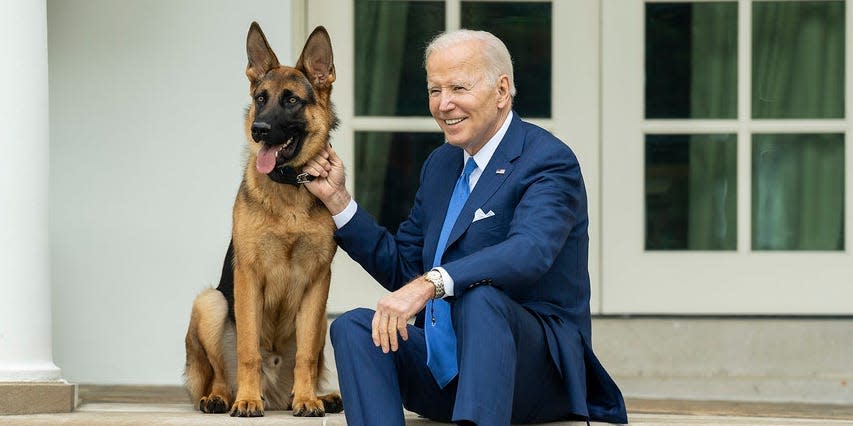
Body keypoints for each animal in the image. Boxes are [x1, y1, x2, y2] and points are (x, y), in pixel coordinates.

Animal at [184, 21, 342, 418]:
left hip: (323, 321)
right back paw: (224, 397)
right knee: (221, 374)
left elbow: (305, 355)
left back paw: (316, 396)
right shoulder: (248, 276)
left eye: (291, 100)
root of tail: (275, 394)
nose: (259, 129)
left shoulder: (318, 280)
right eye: (260, 99)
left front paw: (308, 400)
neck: (288, 189)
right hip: (210, 303)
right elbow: (249, 350)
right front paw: (247, 400)